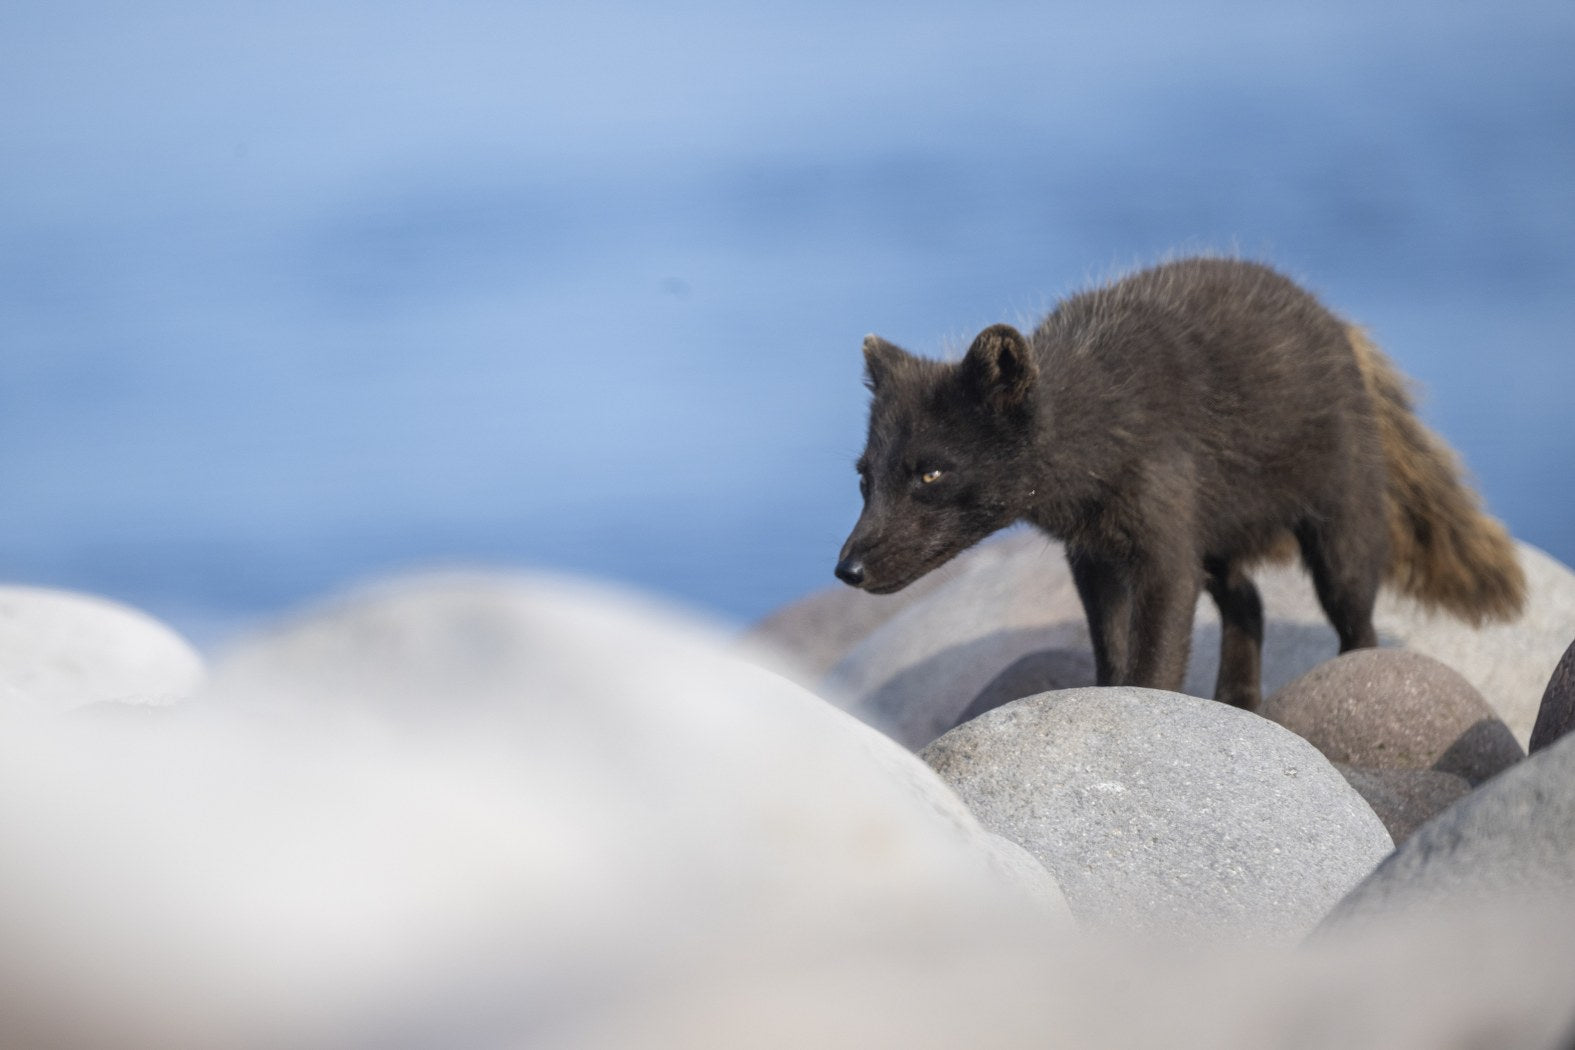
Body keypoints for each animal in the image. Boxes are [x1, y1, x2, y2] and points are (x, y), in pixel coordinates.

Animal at [834, 257, 1525, 711]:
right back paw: (1238, 704)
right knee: (1249, 602)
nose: (847, 571)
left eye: (931, 472)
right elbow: (1112, 648)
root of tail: (1343, 328)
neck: (1101, 418)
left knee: (1358, 625)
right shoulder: (1094, 556)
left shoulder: (1164, 550)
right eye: (863, 476)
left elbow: (1155, 657)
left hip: (1340, 536)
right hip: (1215, 537)